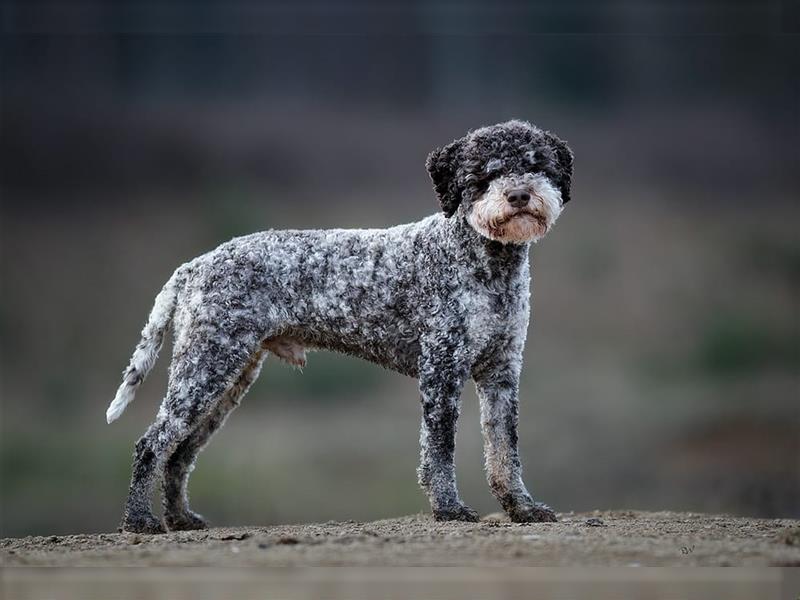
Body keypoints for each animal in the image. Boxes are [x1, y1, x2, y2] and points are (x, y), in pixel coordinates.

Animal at [108, 119, 576, 532]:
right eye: (484, 173)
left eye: (538, 164)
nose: (519, 195)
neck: (480, 260)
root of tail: (195, 265)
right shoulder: (442, 370)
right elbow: (440, 450)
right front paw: (449, 508)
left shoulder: (501, 373)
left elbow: (505, 450)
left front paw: (522, 507)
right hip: (206, 367)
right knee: (152, 444)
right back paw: (140, 520)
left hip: (228, 378)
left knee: (180, 452)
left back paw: (180, 519)